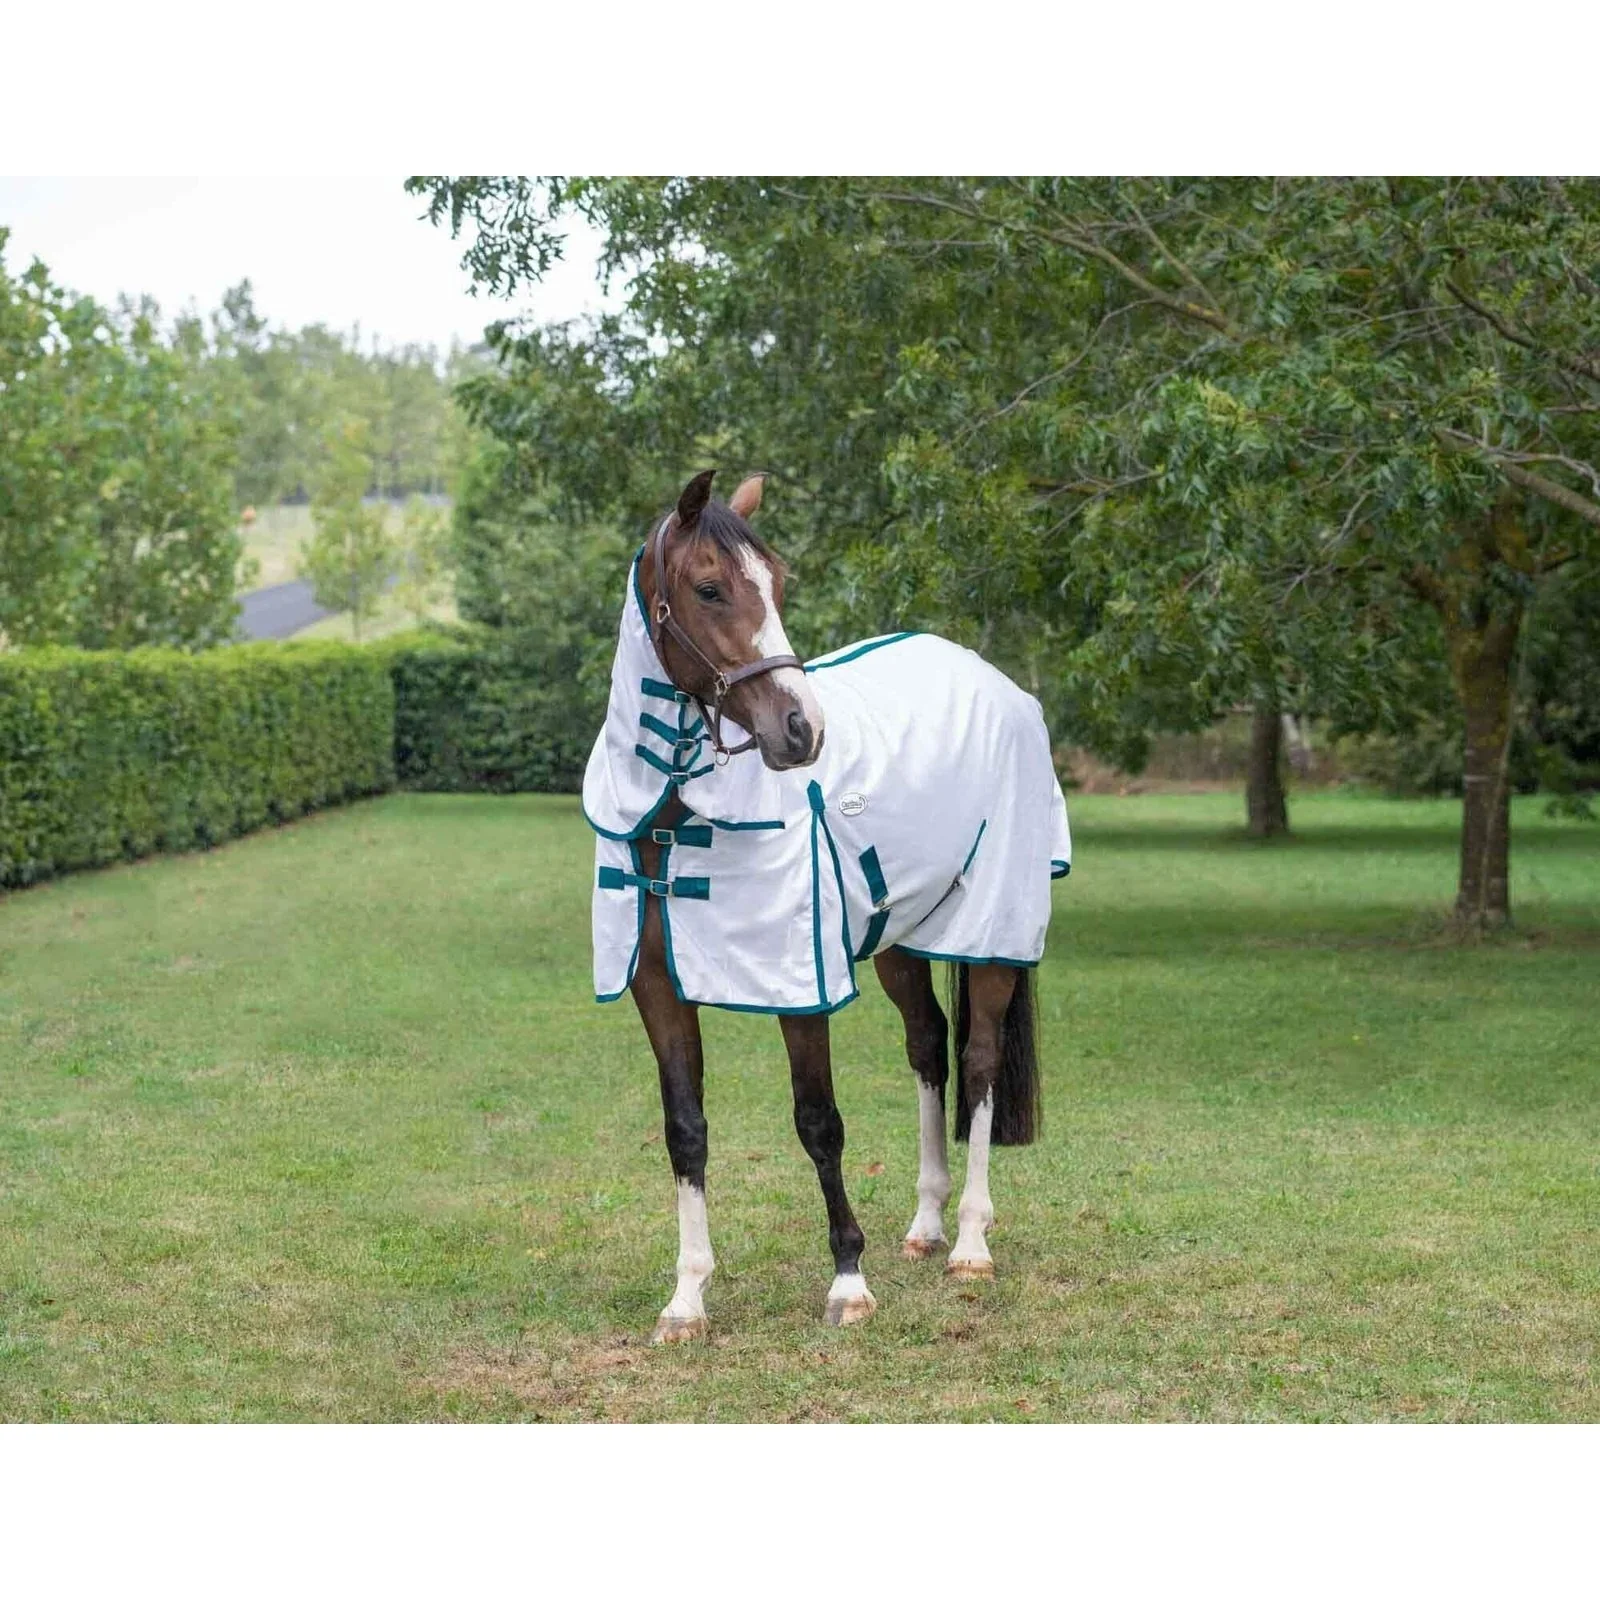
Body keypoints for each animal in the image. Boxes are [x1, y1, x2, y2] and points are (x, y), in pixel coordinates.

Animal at [583, 469, 1072, 1342]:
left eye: (778, 584)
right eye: (709, 587)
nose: (801, 730)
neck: (672, 823)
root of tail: (1001, 685)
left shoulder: (796, 985)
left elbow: (819, 1121)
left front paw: (848, 1280)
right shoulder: (657, 987)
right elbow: (685, 1129)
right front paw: (687, 1298)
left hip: (991, 931)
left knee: (979, 1059)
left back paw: (970, 1243)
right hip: (900, 938)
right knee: (928, 1045)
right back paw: (926, 1224)